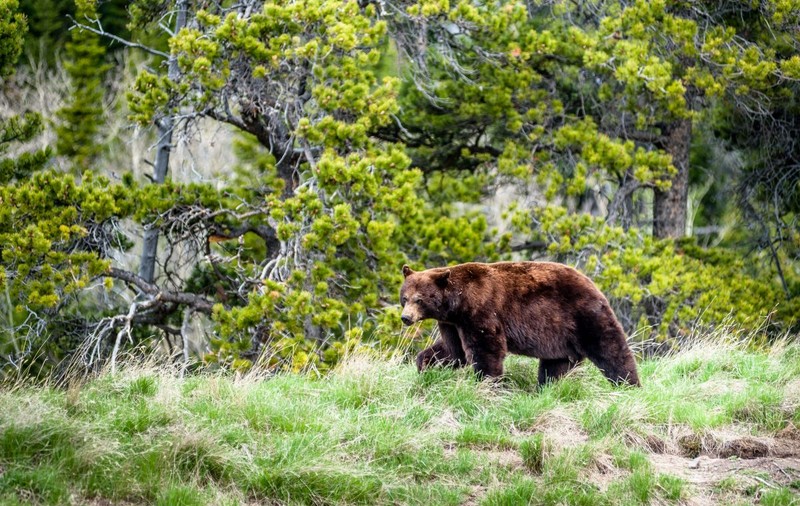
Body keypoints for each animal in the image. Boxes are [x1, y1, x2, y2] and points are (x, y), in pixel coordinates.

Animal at [399, 261, 640, 386]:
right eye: (404, 297)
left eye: (419, 299)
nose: (405, 318)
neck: (457, 302)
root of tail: (593, 284)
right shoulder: (451, 323)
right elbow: (454, 351)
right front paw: (424, 364)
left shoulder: (480, 311)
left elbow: (486, 348)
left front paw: (487, 382)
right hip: (559, 336)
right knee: (555, 365)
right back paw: (547, 388)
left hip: (583, 315)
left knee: (610, 349)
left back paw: (629, 383)